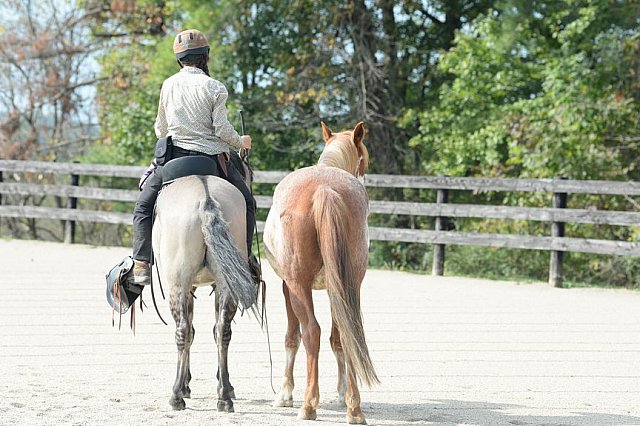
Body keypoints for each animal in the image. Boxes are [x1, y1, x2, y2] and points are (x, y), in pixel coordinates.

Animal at [151, 157, 258, 412]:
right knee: (223, 330)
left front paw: (185, 385)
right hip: (226, 283)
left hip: (178, 283)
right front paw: (223, 384)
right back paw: (224, 397)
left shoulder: (187, 286)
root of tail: (206, 201)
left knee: (182, 331)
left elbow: (190, 331)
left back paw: (176, 395)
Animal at [262, 121, 378, 424]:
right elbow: (339, 339)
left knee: (311, 331)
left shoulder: (287, 286)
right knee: (349, 335)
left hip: (298, 284)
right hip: (349, 285)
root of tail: (325, 189)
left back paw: (308, 405)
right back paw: (354, 408)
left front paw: (284, 394)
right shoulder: (335, 287)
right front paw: (341, 393)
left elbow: (292, 337)